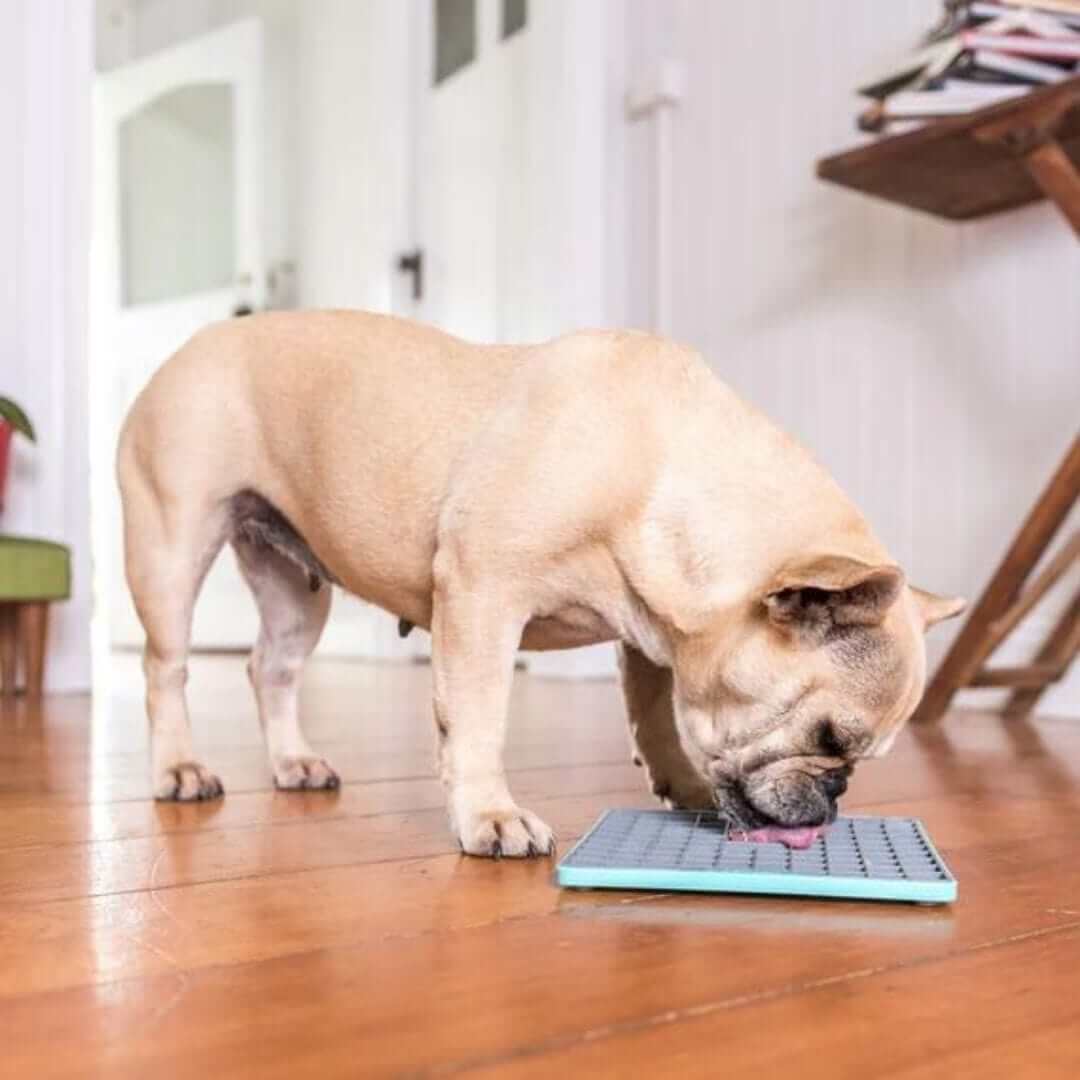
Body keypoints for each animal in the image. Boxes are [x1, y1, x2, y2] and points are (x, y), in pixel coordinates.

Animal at [118, 308, 963, 855]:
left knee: (273, 668)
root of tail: (196, 342)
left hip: (296, 588)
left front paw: (682, 783)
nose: (838, 790)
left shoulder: (654, 638)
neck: (659, 467)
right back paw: (178, 769)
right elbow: (480, 719)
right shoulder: (483, 597)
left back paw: (293, 763)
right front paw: (490, 817)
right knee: (165, 670)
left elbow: (654, 717)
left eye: (857, 759)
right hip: (170, 547)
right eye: (829, 739)